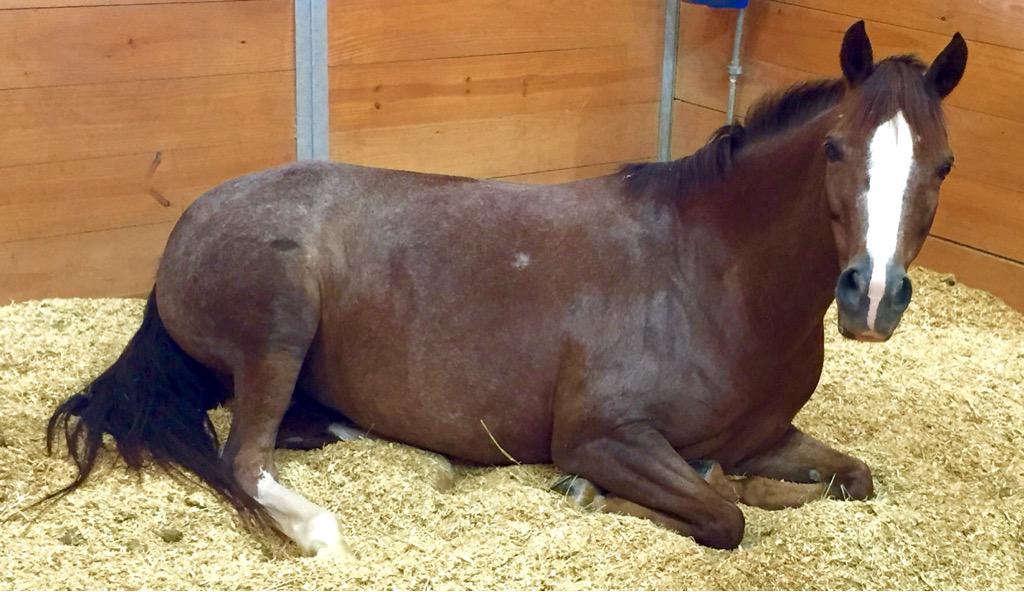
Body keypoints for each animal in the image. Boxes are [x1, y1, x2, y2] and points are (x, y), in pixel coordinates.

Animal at [43, 21, 967, 555]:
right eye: (836, 149)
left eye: (944, 164)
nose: (872, 298)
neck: (710, 279)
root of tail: (189, 224)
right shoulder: (605, 436)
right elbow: (720, 516)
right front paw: (593, 495)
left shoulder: (768, 437)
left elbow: (848, 480)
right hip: (280, 325)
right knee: (244, 458)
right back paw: (318, 530)